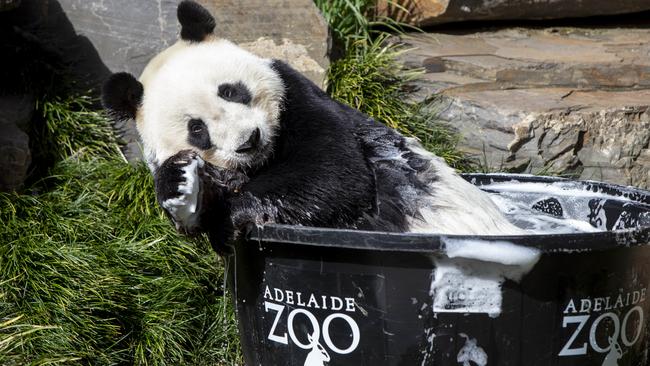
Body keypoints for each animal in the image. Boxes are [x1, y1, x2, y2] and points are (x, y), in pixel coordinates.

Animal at [101, 0, 520, 252]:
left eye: (231, 91)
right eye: (197, 129)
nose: (249, 140)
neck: (262, 163)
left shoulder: (298, 97)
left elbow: (334, 174)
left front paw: (238, 213)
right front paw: (182, 185)